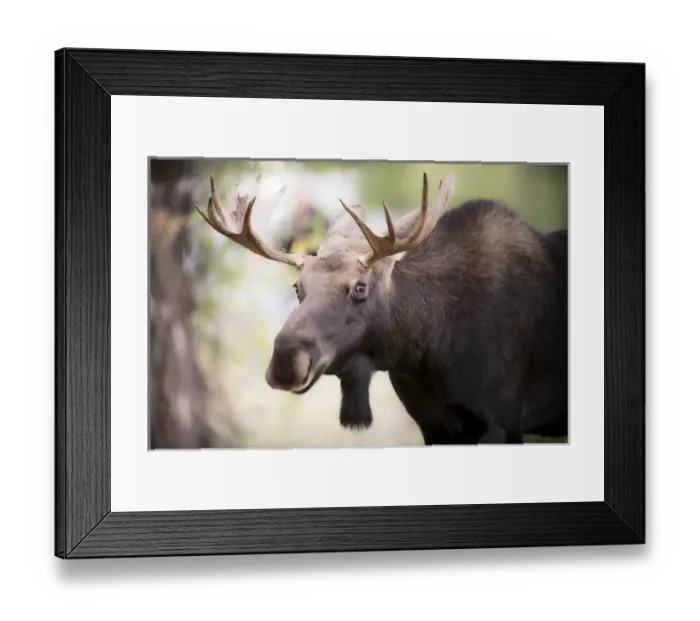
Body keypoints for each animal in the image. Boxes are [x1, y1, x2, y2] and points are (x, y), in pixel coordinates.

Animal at [194, 171, 568, 445]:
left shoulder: (502, 421)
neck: (426, 351)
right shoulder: (433, 425)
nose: (286, 361)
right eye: (297, 287)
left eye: (360, 287)